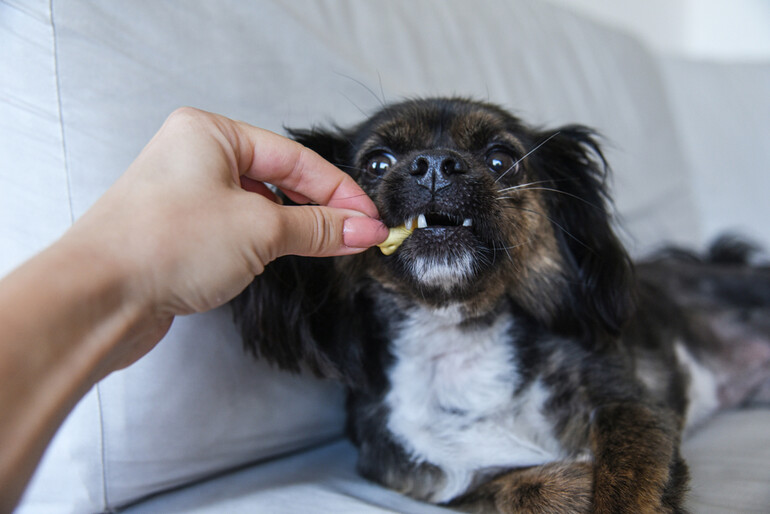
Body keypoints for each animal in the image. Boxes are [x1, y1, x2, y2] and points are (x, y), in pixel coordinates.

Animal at [231, 98, 768, 510]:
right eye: (378, 162)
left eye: (500, 160)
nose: (434, 164)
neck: (458, 336)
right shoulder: (431, 477)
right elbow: (516, 486)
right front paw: (575, 482)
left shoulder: (629, 405)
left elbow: (626, 476)